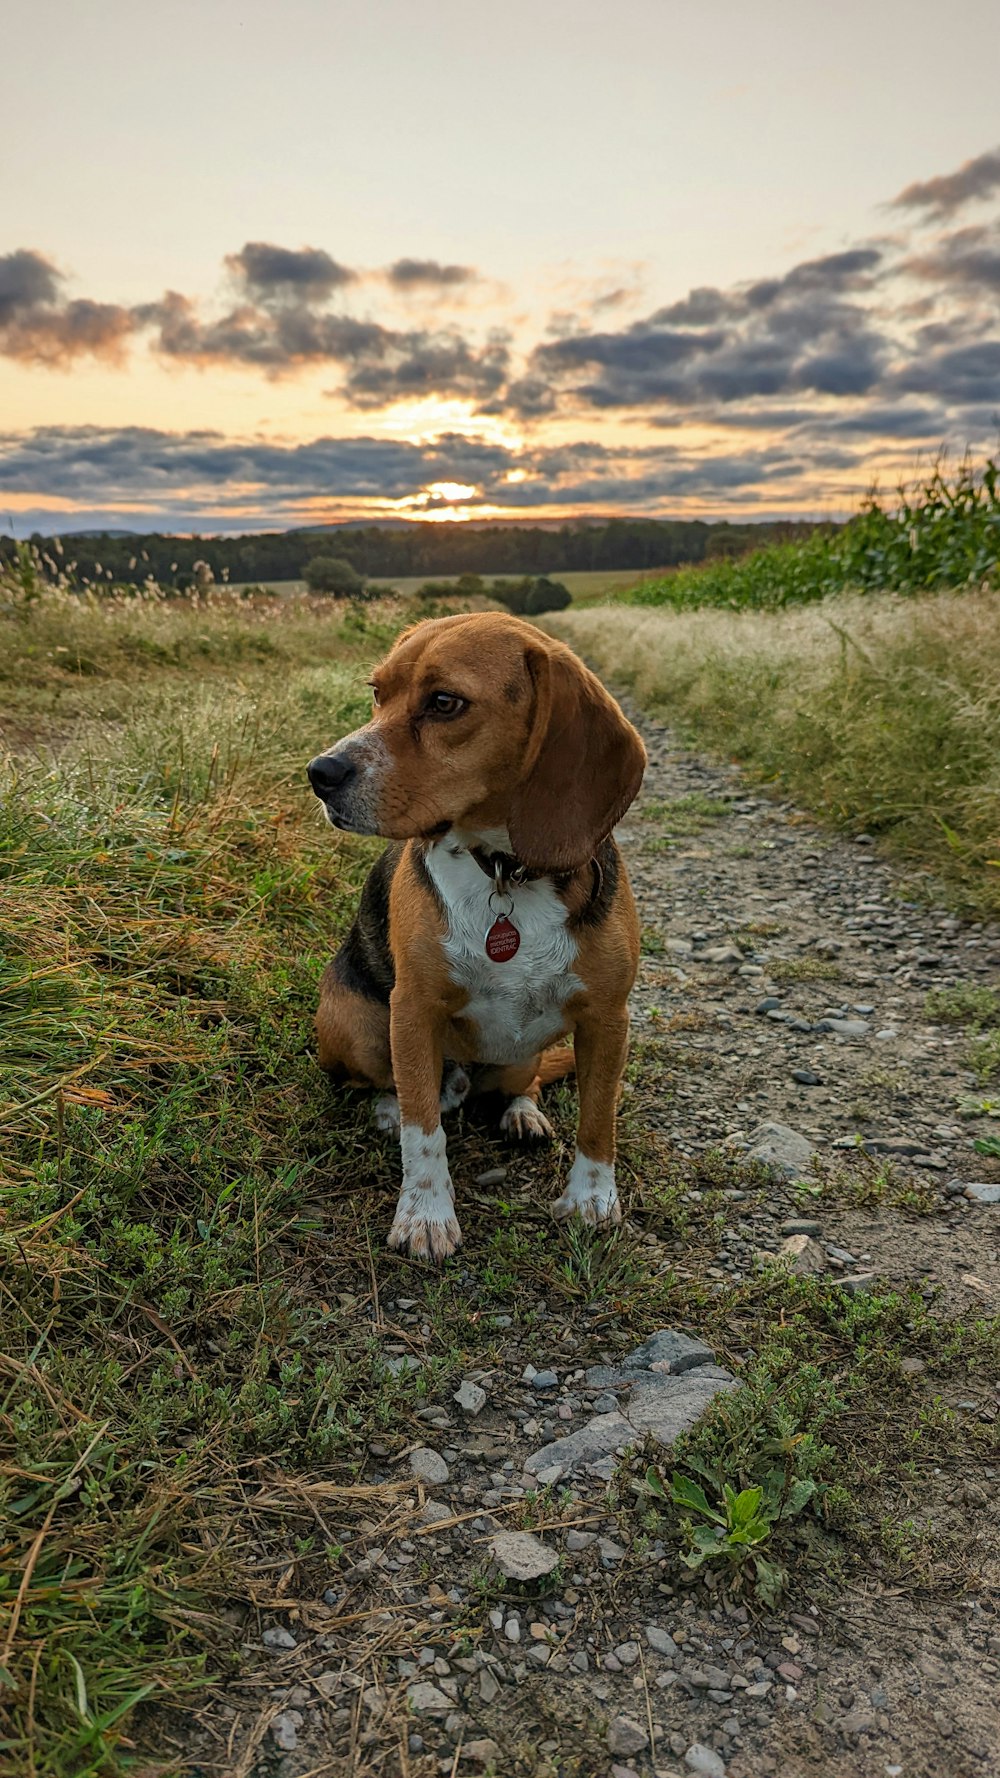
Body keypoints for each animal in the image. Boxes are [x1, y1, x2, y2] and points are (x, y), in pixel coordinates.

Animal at [306, 611, 647, 1265]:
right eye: (377, 693)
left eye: (445, 702)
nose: (320, 773)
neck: (506, 871)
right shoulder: (413, 1009)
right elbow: (423, 1133)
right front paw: (426, 1215)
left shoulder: (608, 1017)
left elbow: (599, 1117)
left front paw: (592, 1200)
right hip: (354, 1024)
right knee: (400, 1088)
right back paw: (393, 1105)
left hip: (525, 1057)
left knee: (526, 1083)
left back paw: (522, 1114)